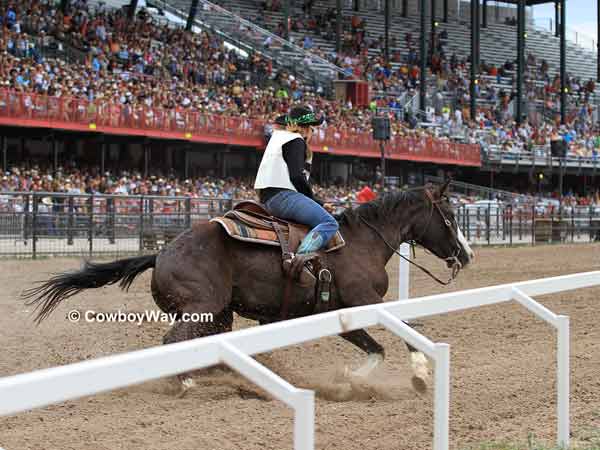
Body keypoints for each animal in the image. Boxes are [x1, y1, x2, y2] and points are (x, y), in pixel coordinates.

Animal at [22, 182, 474, 394]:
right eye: (451, 216)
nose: (467, 255)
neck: (361, 242)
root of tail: (162, 252)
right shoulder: (365, 301)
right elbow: (401, 331)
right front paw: (419, 374)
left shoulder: (339, 312)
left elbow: (374, 348)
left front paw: (350, 379)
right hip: (201, 307)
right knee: (172, 341)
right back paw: (185, 382)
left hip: (217, 315)